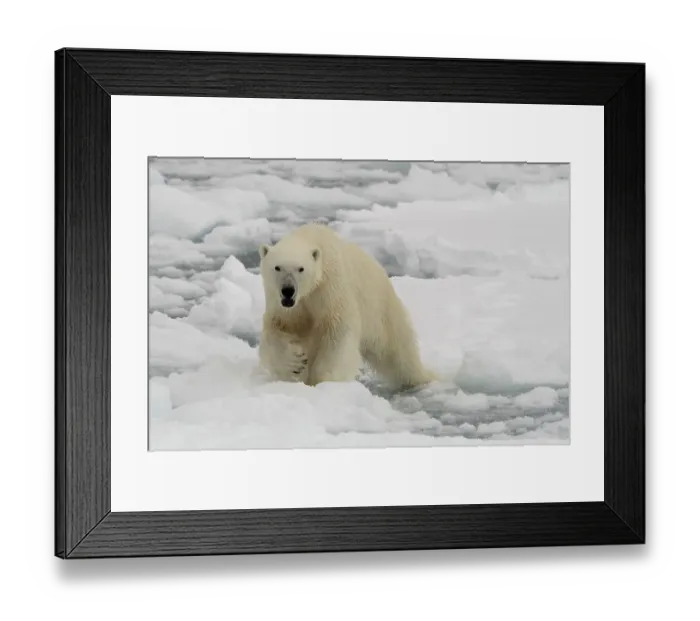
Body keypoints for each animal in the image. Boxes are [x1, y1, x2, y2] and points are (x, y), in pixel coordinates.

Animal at [257, 223, 436, 389]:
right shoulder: (283, 305)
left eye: (301, 269)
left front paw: (323, 379)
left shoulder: (331, 290)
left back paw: (422, 378)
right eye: (277, 267)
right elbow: (276, 328)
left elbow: (337, 331)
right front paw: (295, 363)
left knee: (398, 353)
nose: (288, 290)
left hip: (381, 310)